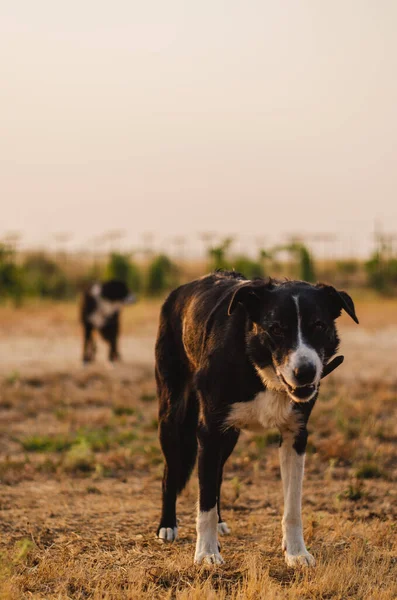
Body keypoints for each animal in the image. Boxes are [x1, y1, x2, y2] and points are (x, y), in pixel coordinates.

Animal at [155, 272, 358, 568]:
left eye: (319, 325)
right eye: (276, 328)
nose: (306, 372)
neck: (258, 363)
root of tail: (180, 290)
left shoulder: (295, 435)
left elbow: (293, 506)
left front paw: (297, 553)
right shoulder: (209, 431)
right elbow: (204, 502)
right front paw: (206, 553)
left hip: (229, 436)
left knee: (216, 476)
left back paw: (220, 522)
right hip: (174, 419)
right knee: (171, 473)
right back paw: (167, 525)